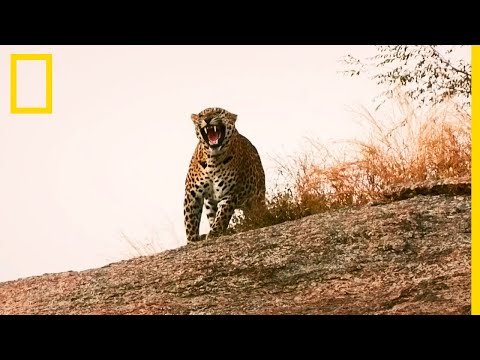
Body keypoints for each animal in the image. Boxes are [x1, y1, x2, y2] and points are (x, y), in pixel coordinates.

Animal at [184, 106, 266, 242]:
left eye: (218, 112)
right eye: (201, 115)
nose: (207, 119)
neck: (213, 159)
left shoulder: (230, 194)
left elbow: (222, 215)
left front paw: (214, 234)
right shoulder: (192, 194)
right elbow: (190, 220)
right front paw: (192, 240)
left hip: (257, 200)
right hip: (210, 204)